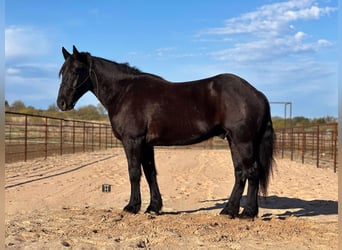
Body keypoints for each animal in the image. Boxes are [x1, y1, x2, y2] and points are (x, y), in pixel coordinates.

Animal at [56, 46, 276, 218]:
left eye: (76, 70)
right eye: (62, 72)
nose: (62, 103)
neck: (124, 92)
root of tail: (258, 94)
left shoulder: (133, 141)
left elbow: (134, 172)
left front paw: (132, 207)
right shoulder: (146, 144)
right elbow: (150, 173)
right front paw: (153, 207)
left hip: (243, 141)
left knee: (252, 172)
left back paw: (248, 213)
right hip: (234, 140)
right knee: (240, 173)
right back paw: (229, 210)